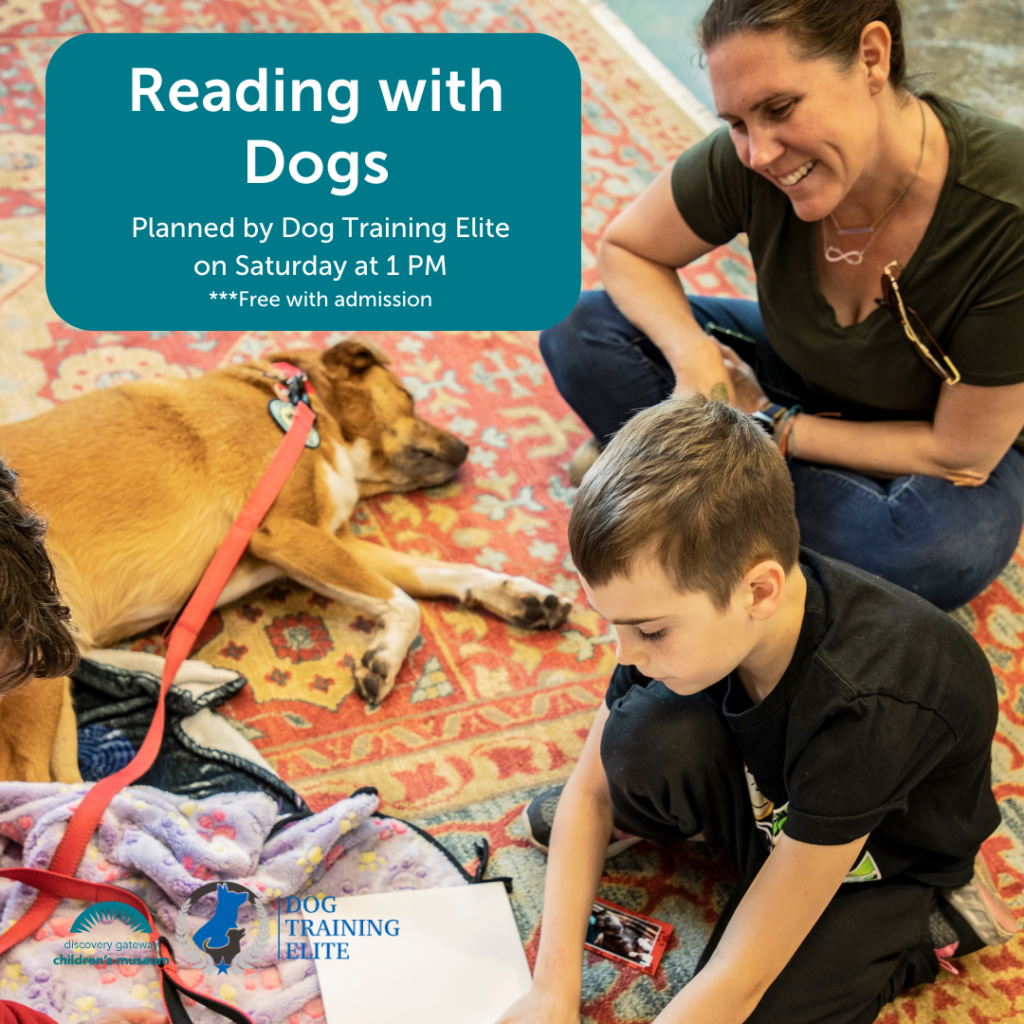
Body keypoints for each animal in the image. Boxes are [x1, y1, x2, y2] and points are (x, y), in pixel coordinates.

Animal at [0, 339, 573, 724]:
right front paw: (385, 659)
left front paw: (521, 595)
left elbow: (441, 571)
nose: (466, 448)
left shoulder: (330, 539)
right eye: (408, 397)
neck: (305, 408)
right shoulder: (287, 534)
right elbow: (406, 604)